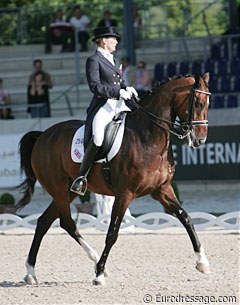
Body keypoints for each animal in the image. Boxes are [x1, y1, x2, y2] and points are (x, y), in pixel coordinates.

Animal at [16, 73, 211, 284]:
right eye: (198, 103)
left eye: (208, 103)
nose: (200, 140)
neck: (148, 137)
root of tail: (43, 135)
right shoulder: (125, 194)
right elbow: (113, 233)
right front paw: (99, 273)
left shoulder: (162, 189)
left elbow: (186, 218)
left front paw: (202, 262)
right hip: (59, 189)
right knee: (67, 223)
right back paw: (94, 262)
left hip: (68, 191)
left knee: (44, 221)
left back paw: (31, 272)